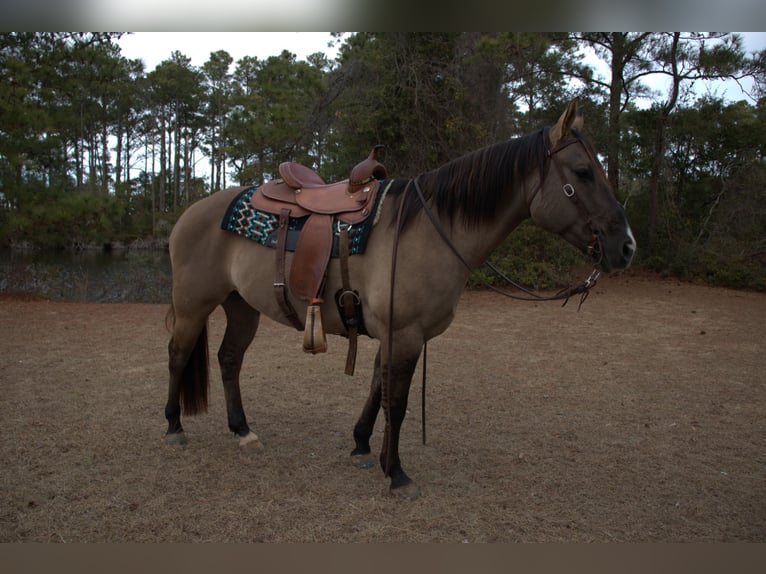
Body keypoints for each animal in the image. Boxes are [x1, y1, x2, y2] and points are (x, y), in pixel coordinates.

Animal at [163, 100, 636, 499]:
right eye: (583, 172)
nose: (626, 246)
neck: (429, 230)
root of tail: (192, 212)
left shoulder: (394, 334)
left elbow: (378, 388)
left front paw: (362, 447)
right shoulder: (405, 334)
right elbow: (398, 402)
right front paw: (397, 473)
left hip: (241, 305)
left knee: (229, 359)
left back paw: (242, 430)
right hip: (193, 304)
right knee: (178, 354)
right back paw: (173, 427)